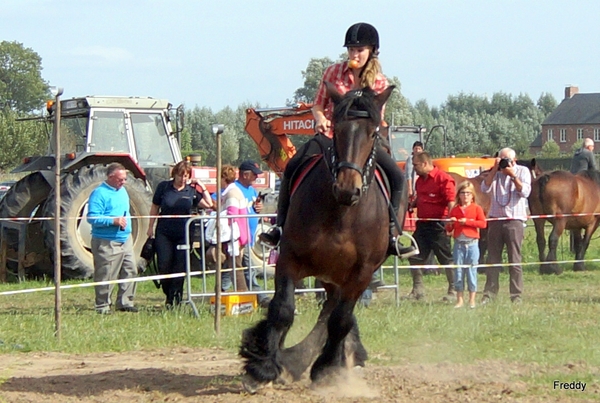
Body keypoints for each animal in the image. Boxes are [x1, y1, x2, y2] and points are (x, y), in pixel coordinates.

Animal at [238, 84, 412, 392]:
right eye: (338, 129)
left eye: (373, 133)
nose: (347, 189)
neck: (340, 213)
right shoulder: (289, 260)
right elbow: (283, 309)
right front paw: (263, 365)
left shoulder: (362, 273)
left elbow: (340, 320)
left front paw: (326, 368)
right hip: (329, 274)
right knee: (327, 308)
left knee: (334, 313)